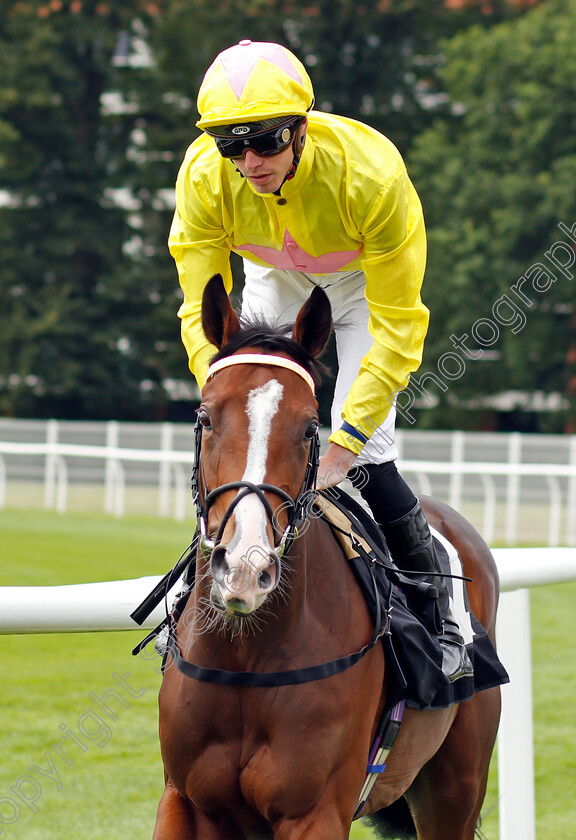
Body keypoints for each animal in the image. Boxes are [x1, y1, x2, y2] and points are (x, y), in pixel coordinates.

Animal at [153, 276, 504, 840]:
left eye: (309, 428)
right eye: (204, 417)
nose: (245, 569)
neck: (244, 656)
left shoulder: (314, 812)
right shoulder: (183, 801)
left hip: (456, 788)